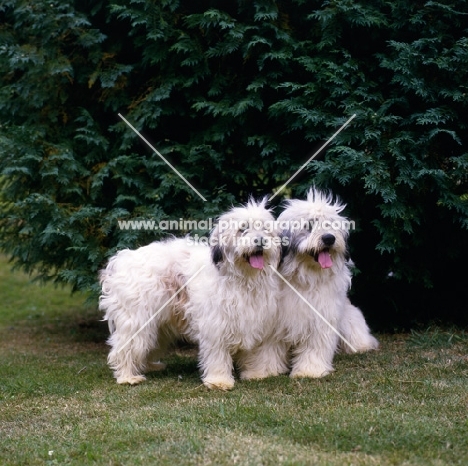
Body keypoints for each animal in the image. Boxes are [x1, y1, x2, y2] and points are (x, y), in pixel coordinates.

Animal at [100, 199, 288, 390]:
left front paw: (256, 373)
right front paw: (219, 380)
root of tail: (121, 259)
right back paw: (127, 376)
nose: (260, 241)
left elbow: (255, 351)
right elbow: (217, 354)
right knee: (125, 347)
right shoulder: (215, 325)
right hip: (136, 319)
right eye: (242, 229)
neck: (244, 278)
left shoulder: (256, 321)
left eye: (265, 229)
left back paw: (149, 366)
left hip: (158, 323)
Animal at [276, 189, 378, 378]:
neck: (306, 278)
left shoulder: (322, 317)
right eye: (309, 225)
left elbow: (315, 347)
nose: (329, 238)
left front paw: (309, 370)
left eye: (330, 225)